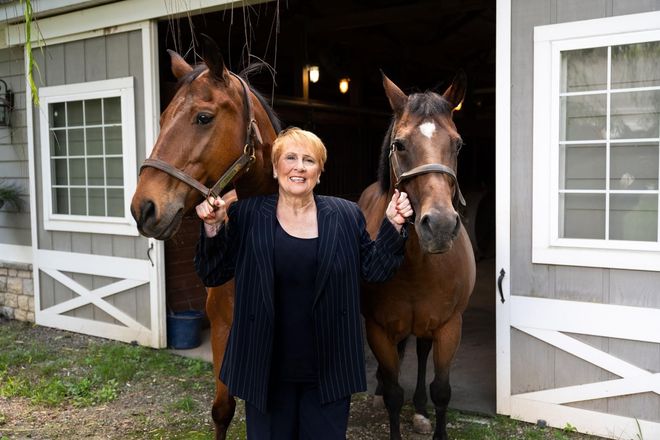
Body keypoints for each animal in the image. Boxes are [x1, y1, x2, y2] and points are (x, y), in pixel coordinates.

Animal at [358, 73, 476, 440]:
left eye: (458, 144)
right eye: (399, 145)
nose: (439, 226)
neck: (417, 265)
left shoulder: (449, 326)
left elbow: (442, 390)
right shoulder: (378, 328)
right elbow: (395, 394)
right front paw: (386, 393)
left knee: (422, 354)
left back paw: (421, 409)